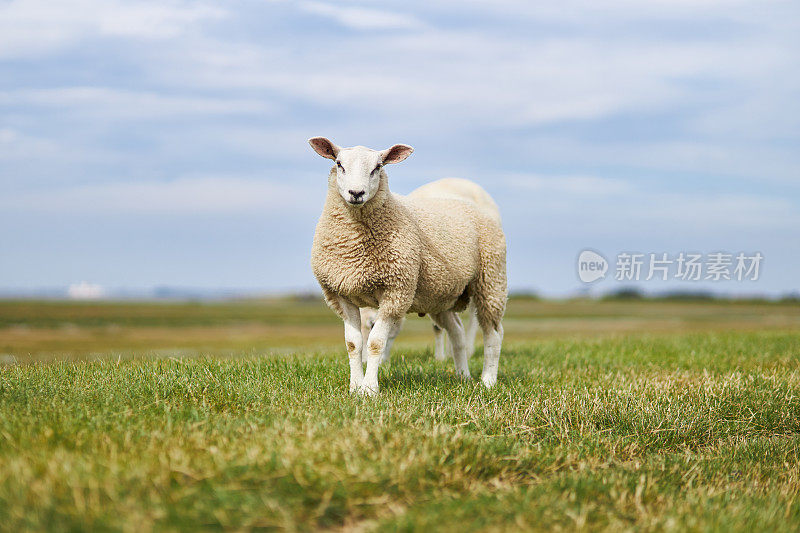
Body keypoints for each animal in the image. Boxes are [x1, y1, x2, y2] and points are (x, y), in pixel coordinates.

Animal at [308, 137, 506, 394]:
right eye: (339, 164)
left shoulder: (395, 291)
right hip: (441, 296)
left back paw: (488, 380)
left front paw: (370, 390)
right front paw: (354, 388)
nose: (356, 193)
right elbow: (353, 344)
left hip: (491, 280)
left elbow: (375, 343)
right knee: (457, 332)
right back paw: (463, 376)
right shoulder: (341, 294)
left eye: (378, 167)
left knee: (493, 334)